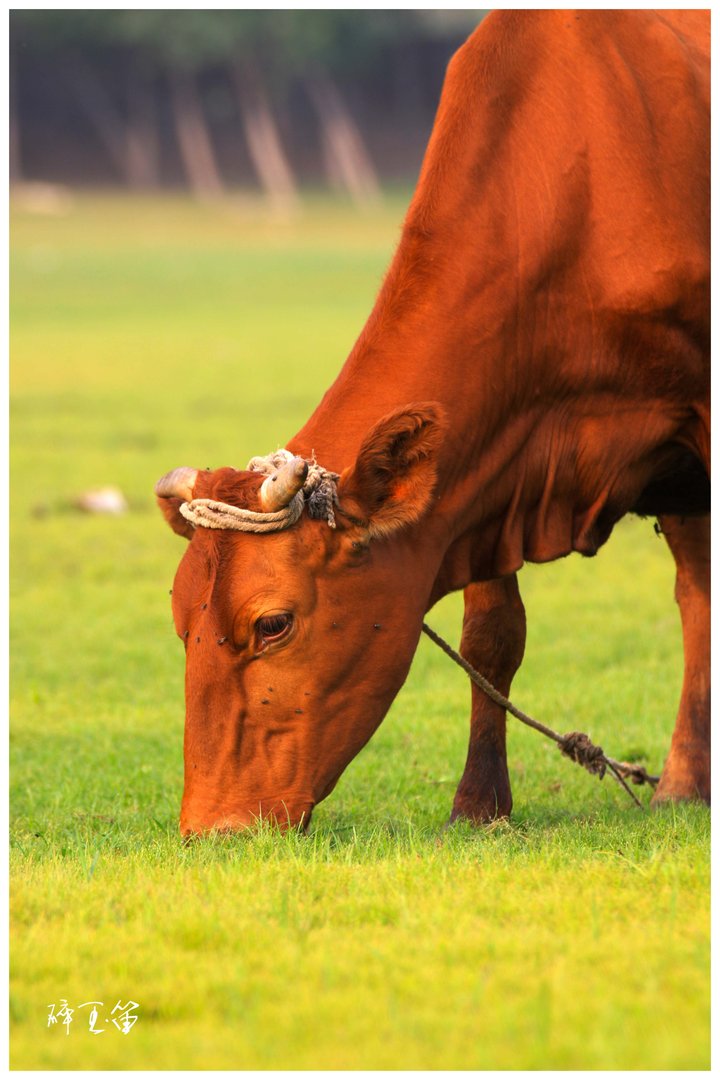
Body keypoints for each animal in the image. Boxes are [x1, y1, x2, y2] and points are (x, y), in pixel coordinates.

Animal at [156, 10, 708, 833]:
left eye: (273, 624)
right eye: (179, 620)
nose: (212, 826)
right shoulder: (495, 467)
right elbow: (492, 638)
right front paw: (479, 802)